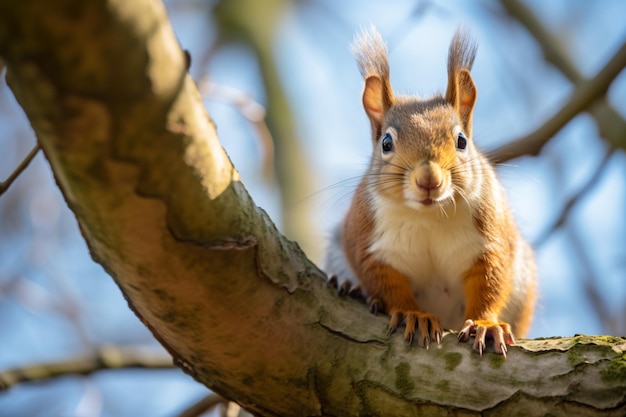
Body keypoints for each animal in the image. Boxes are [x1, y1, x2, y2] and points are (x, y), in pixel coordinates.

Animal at [324, 27, 532, 356]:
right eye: (386, 143)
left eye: (461, 141)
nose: (429, 180)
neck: (429, 215)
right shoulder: (366, 241)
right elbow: (385, 283)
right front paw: (415, 314)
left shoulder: (491, 239)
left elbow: (490, 281)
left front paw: (485, 324)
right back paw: (351, 287)